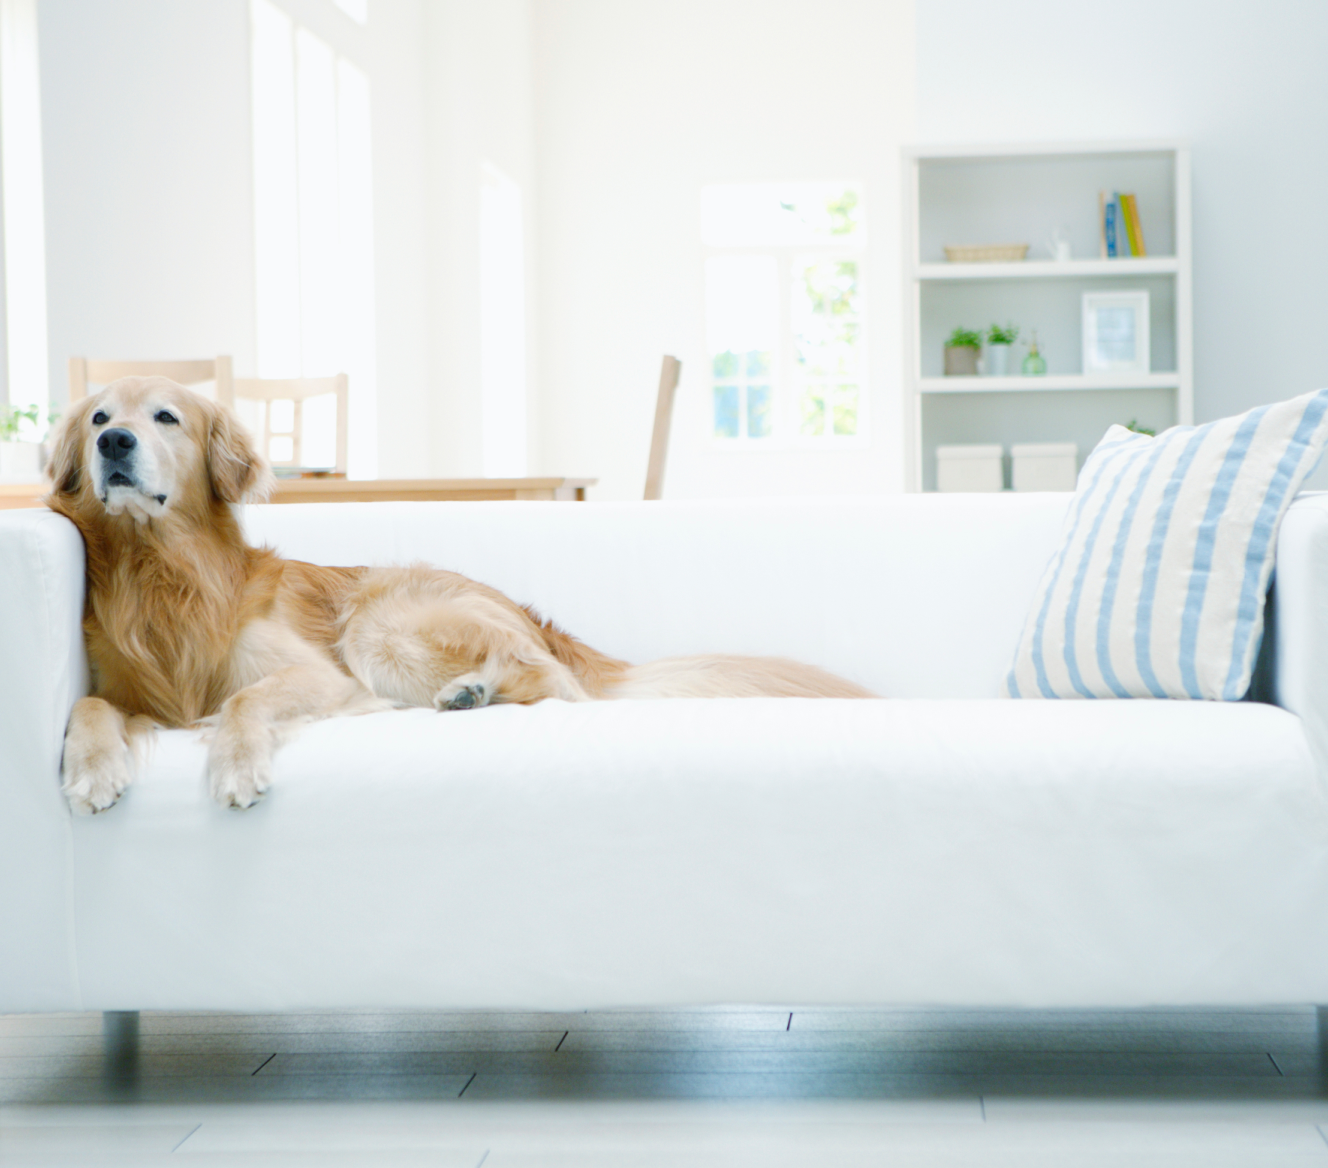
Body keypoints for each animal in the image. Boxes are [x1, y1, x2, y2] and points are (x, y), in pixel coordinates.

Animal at [46, 382, 876, 812]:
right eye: (98, 417)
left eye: (165, 417)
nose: (113, 443)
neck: (163, 573)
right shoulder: (130, 689)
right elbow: (88, 705)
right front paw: (92, 767)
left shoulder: (322, 676)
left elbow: (248, 699)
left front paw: (234, 763)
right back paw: (469, 694)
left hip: (379, 623)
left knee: (560, 685)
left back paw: (476, 689)